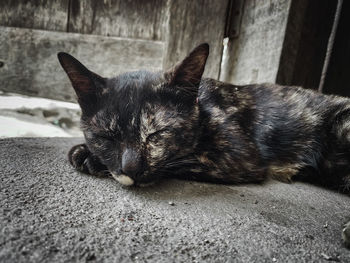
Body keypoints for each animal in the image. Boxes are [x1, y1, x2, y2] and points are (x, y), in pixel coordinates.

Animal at [58, 43, 350, 248]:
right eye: (107, 137)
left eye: (158, 133)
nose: (131, 170)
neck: (202, 107)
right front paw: (86, 152)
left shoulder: (238, 156)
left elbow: (182, 160)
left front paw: (88, 157)